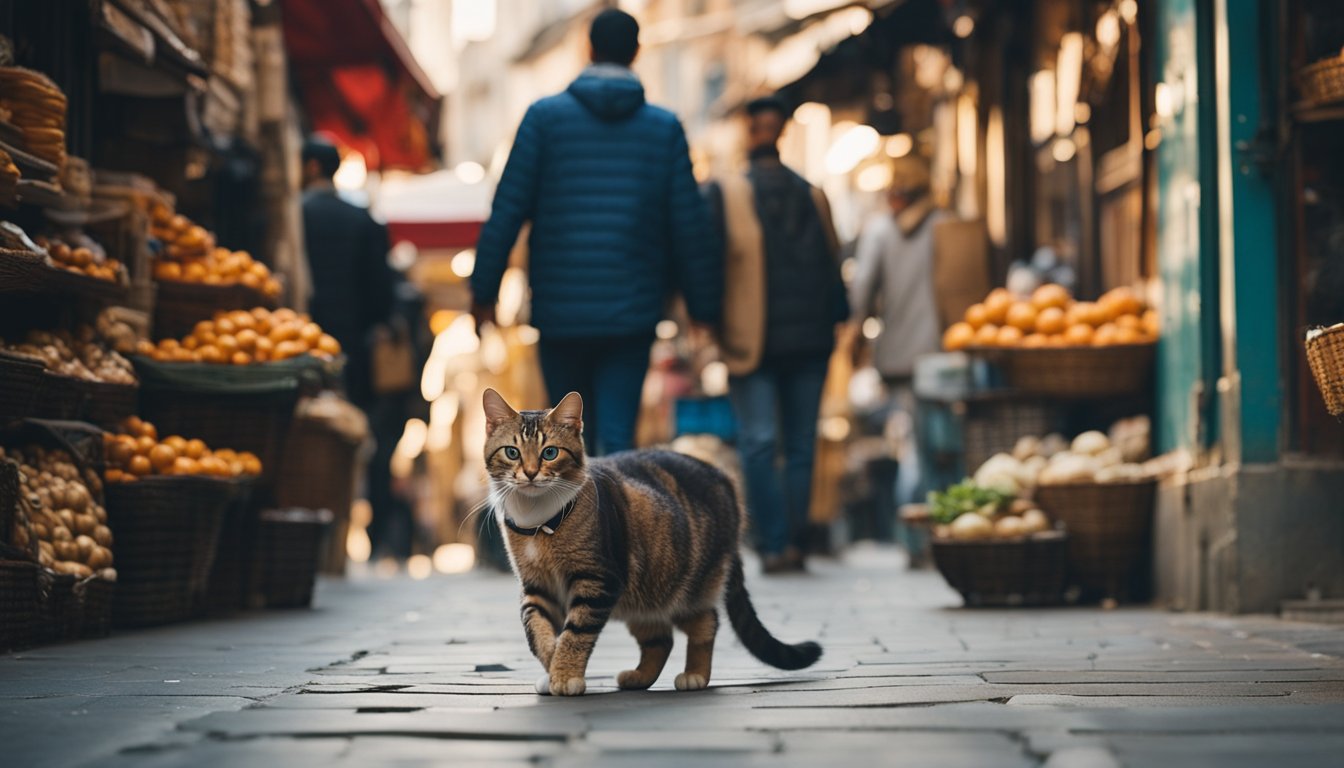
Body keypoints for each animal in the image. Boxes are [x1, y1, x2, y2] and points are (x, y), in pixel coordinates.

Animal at [483, 390, 817, 699]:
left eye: (550, 452)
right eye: (512, 452)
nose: (529, 473)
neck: (538, 522)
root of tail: (723, 478)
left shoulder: (597, 582)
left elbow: (575, 633)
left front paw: (563, 675)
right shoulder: (537, 587)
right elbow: (536, 630)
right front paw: (551, 667)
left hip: (685, 586)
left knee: (705, 621)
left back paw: (695, 674)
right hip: (640, 594)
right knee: (660, 638)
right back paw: (639, 676)